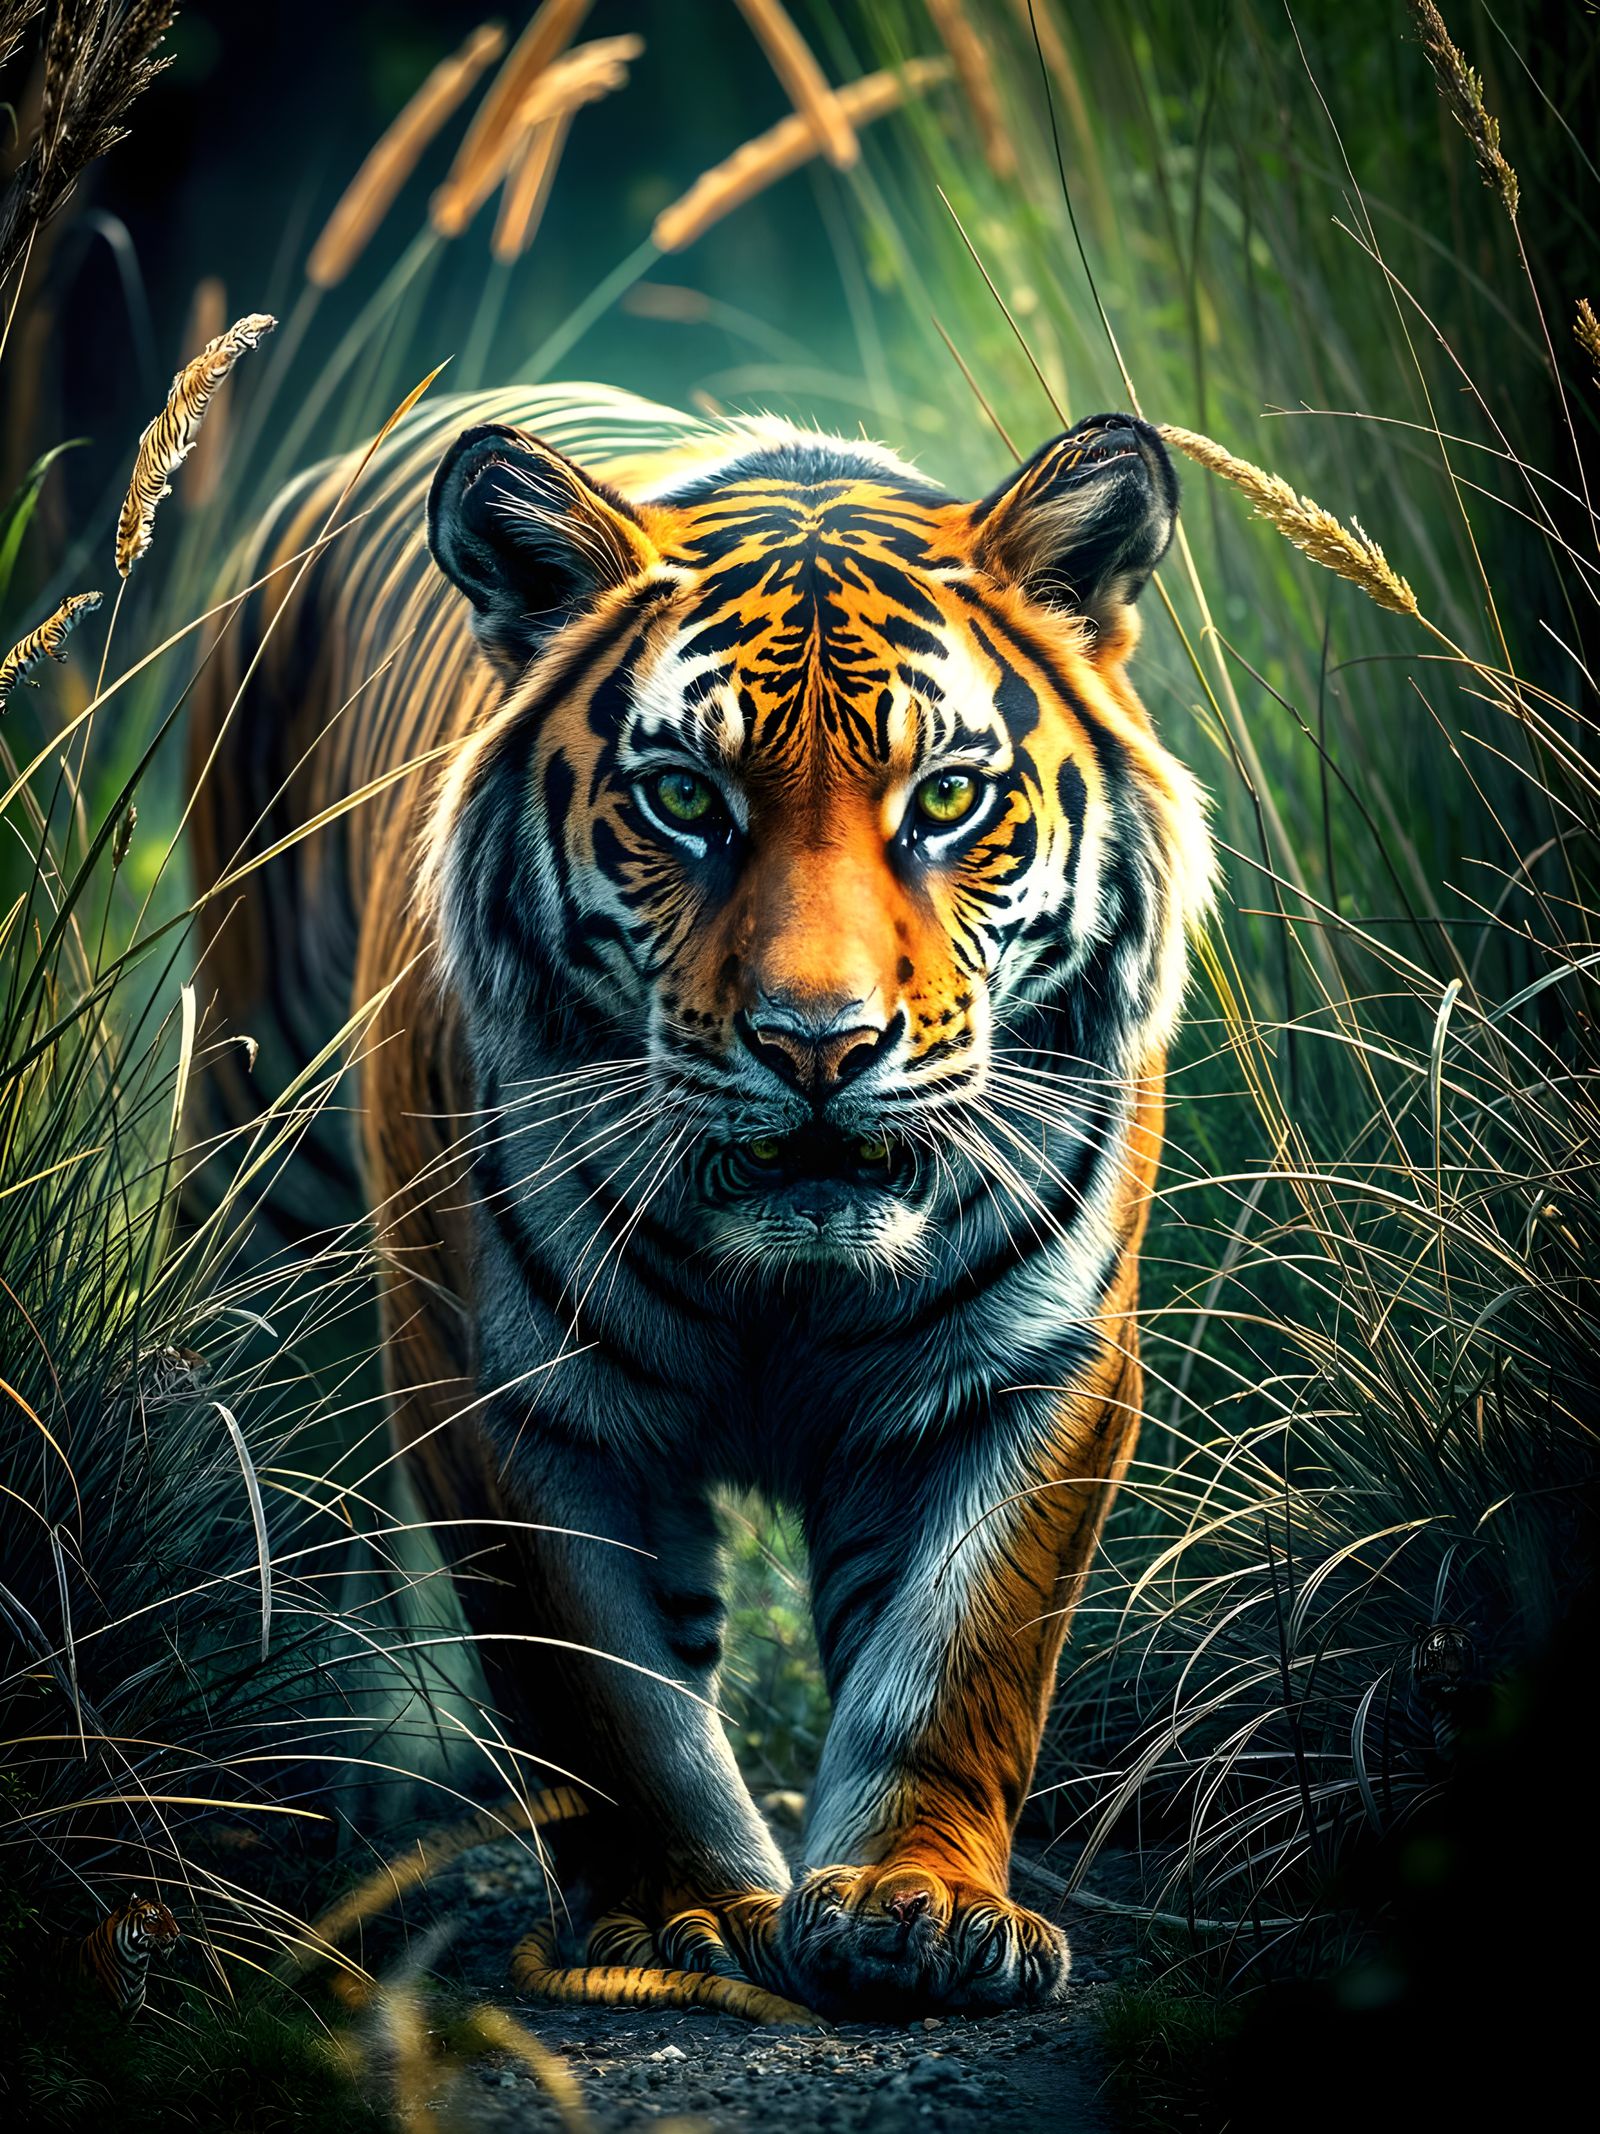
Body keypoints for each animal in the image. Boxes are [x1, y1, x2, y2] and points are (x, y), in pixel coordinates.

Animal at [187, 381, 1211, 2019]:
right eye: (683, 798)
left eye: (946, 798)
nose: (820, 1044)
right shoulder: (505, 1386)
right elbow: (605, 1692)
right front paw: (679, 1918)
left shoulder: (1030, 1369)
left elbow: (955, 1651)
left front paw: (922, 1905)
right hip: (258, 1165)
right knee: (271, 1460)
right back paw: (289, 1776)